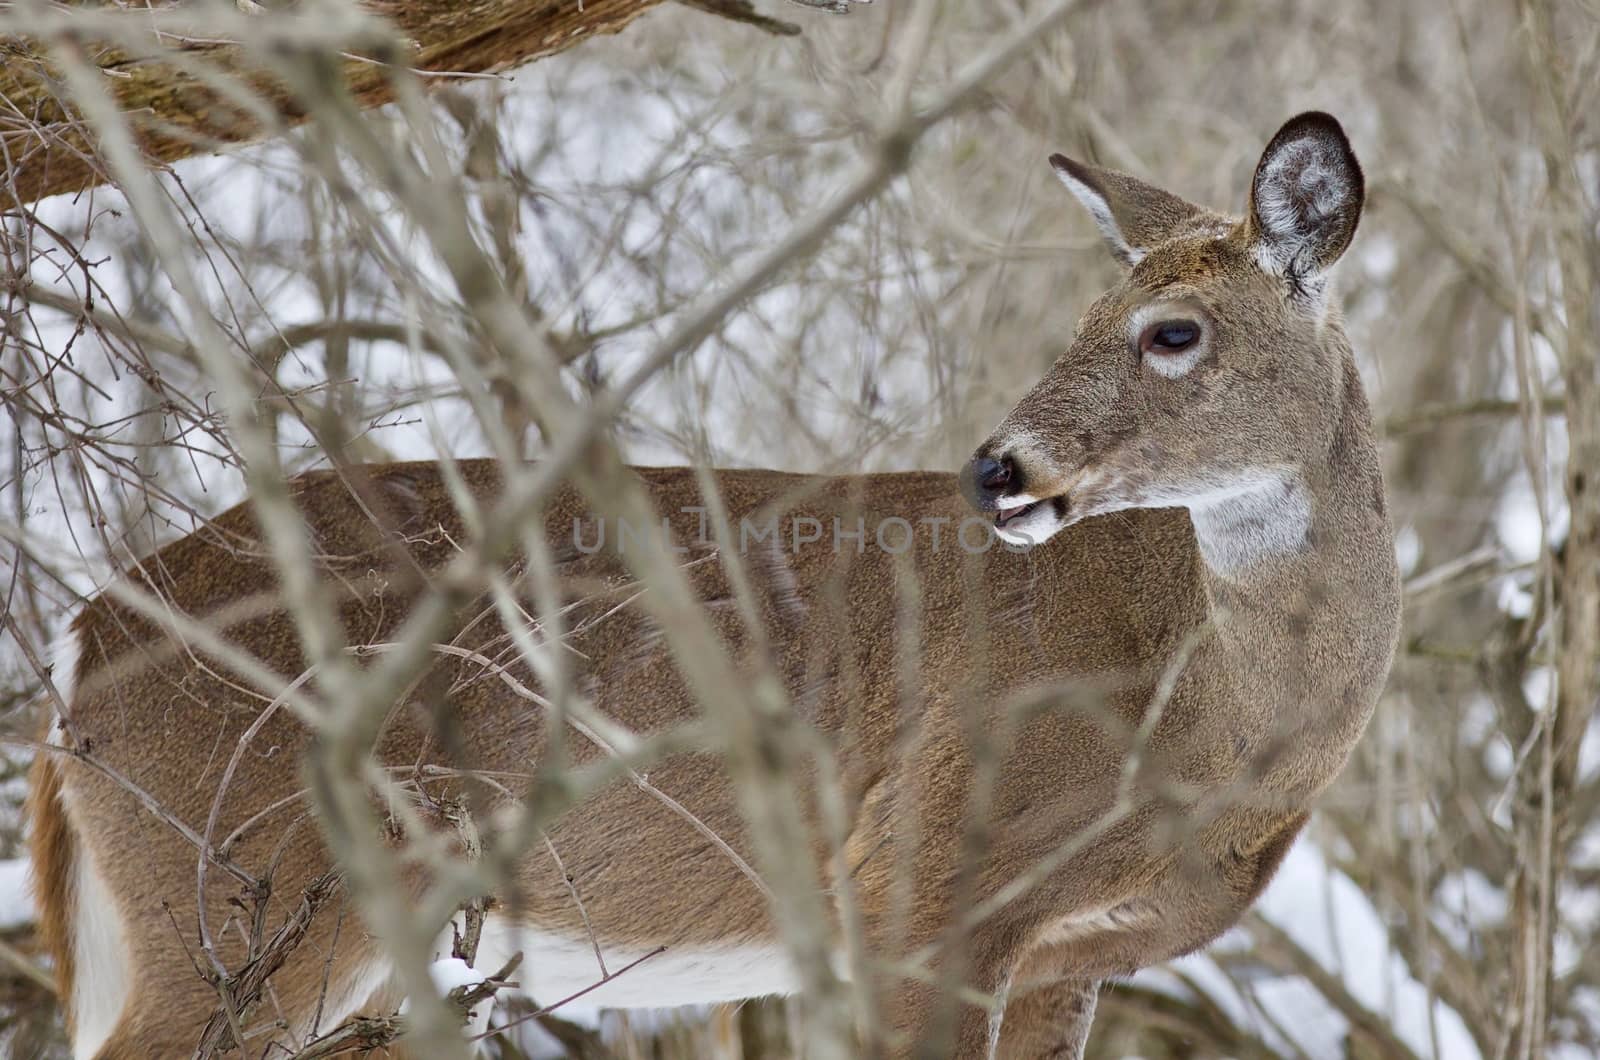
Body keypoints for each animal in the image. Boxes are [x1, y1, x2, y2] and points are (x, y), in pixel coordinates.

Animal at [25, 112, 1401, 1056]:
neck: (1208, 721)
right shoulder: (912, 881)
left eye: (1171, 330)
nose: (997, 469)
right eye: (1082, 320)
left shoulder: (1074, 955)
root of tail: (79, 639)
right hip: (249, 901)